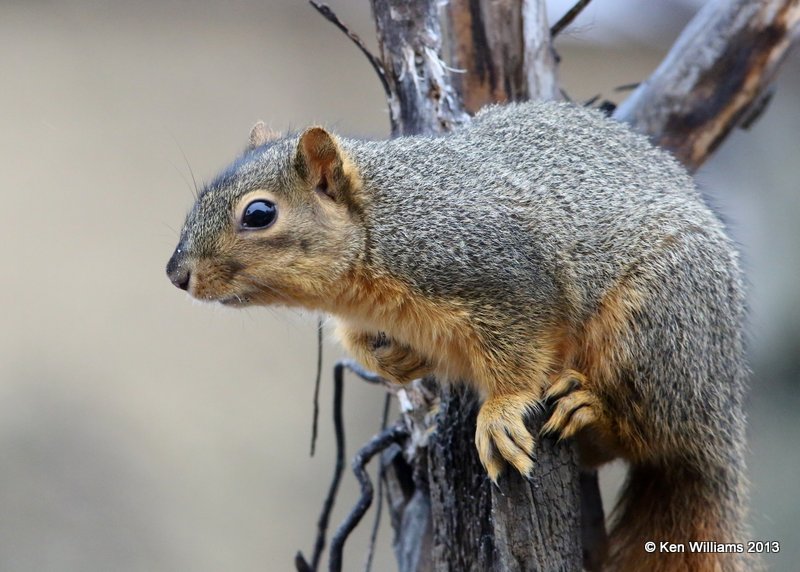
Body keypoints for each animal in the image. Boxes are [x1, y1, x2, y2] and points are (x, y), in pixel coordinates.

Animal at [167, 100, 752, 568]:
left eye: (259, 213)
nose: (176, 274)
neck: (381, 227)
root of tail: (724, 415)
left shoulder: (508, 280)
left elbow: (521, 353)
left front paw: (500, 412)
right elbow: (367, 343)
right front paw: (394, 361)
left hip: (658, 325)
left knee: (652, 432)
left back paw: (589, 407)